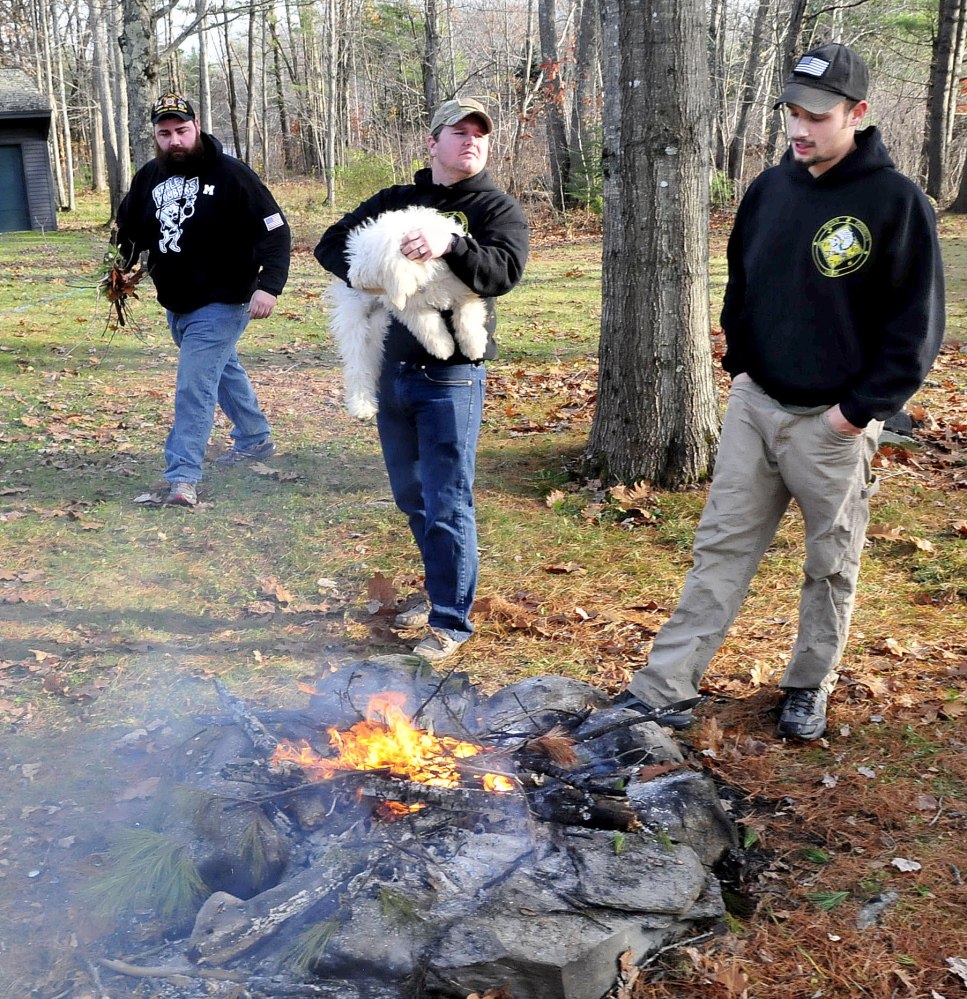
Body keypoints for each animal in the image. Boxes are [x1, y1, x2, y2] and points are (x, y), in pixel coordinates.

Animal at [328, 207, 492, 418]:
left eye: (366, 258)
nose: (352, 278)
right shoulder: (407, 305)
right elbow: (427, 324)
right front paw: (443, 348)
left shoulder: (464, 291)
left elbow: (467, 318)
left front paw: (474, 347)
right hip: (356, 320)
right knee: (358, 365)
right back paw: (362, 407)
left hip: (377, 323)